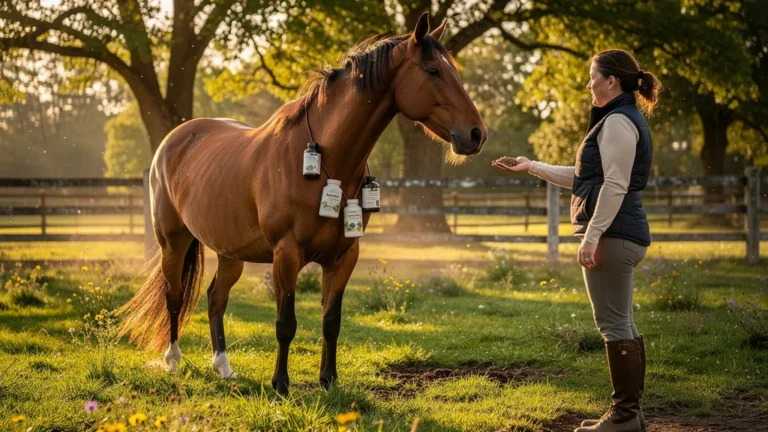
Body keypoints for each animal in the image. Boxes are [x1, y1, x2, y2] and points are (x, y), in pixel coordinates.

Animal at [118, 12, 487, 397]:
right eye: (432, 70)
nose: (476, 134)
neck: (324, 161)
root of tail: (174, 140)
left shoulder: (343, 257)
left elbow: (331, 321)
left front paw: (329, 379)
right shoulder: (287, 253)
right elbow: (286, 323)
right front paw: (280, 384)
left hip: (230, 252)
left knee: (216, 297)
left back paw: (223, 366)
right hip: (173, 242)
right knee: (174, 296)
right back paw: (173, 360)